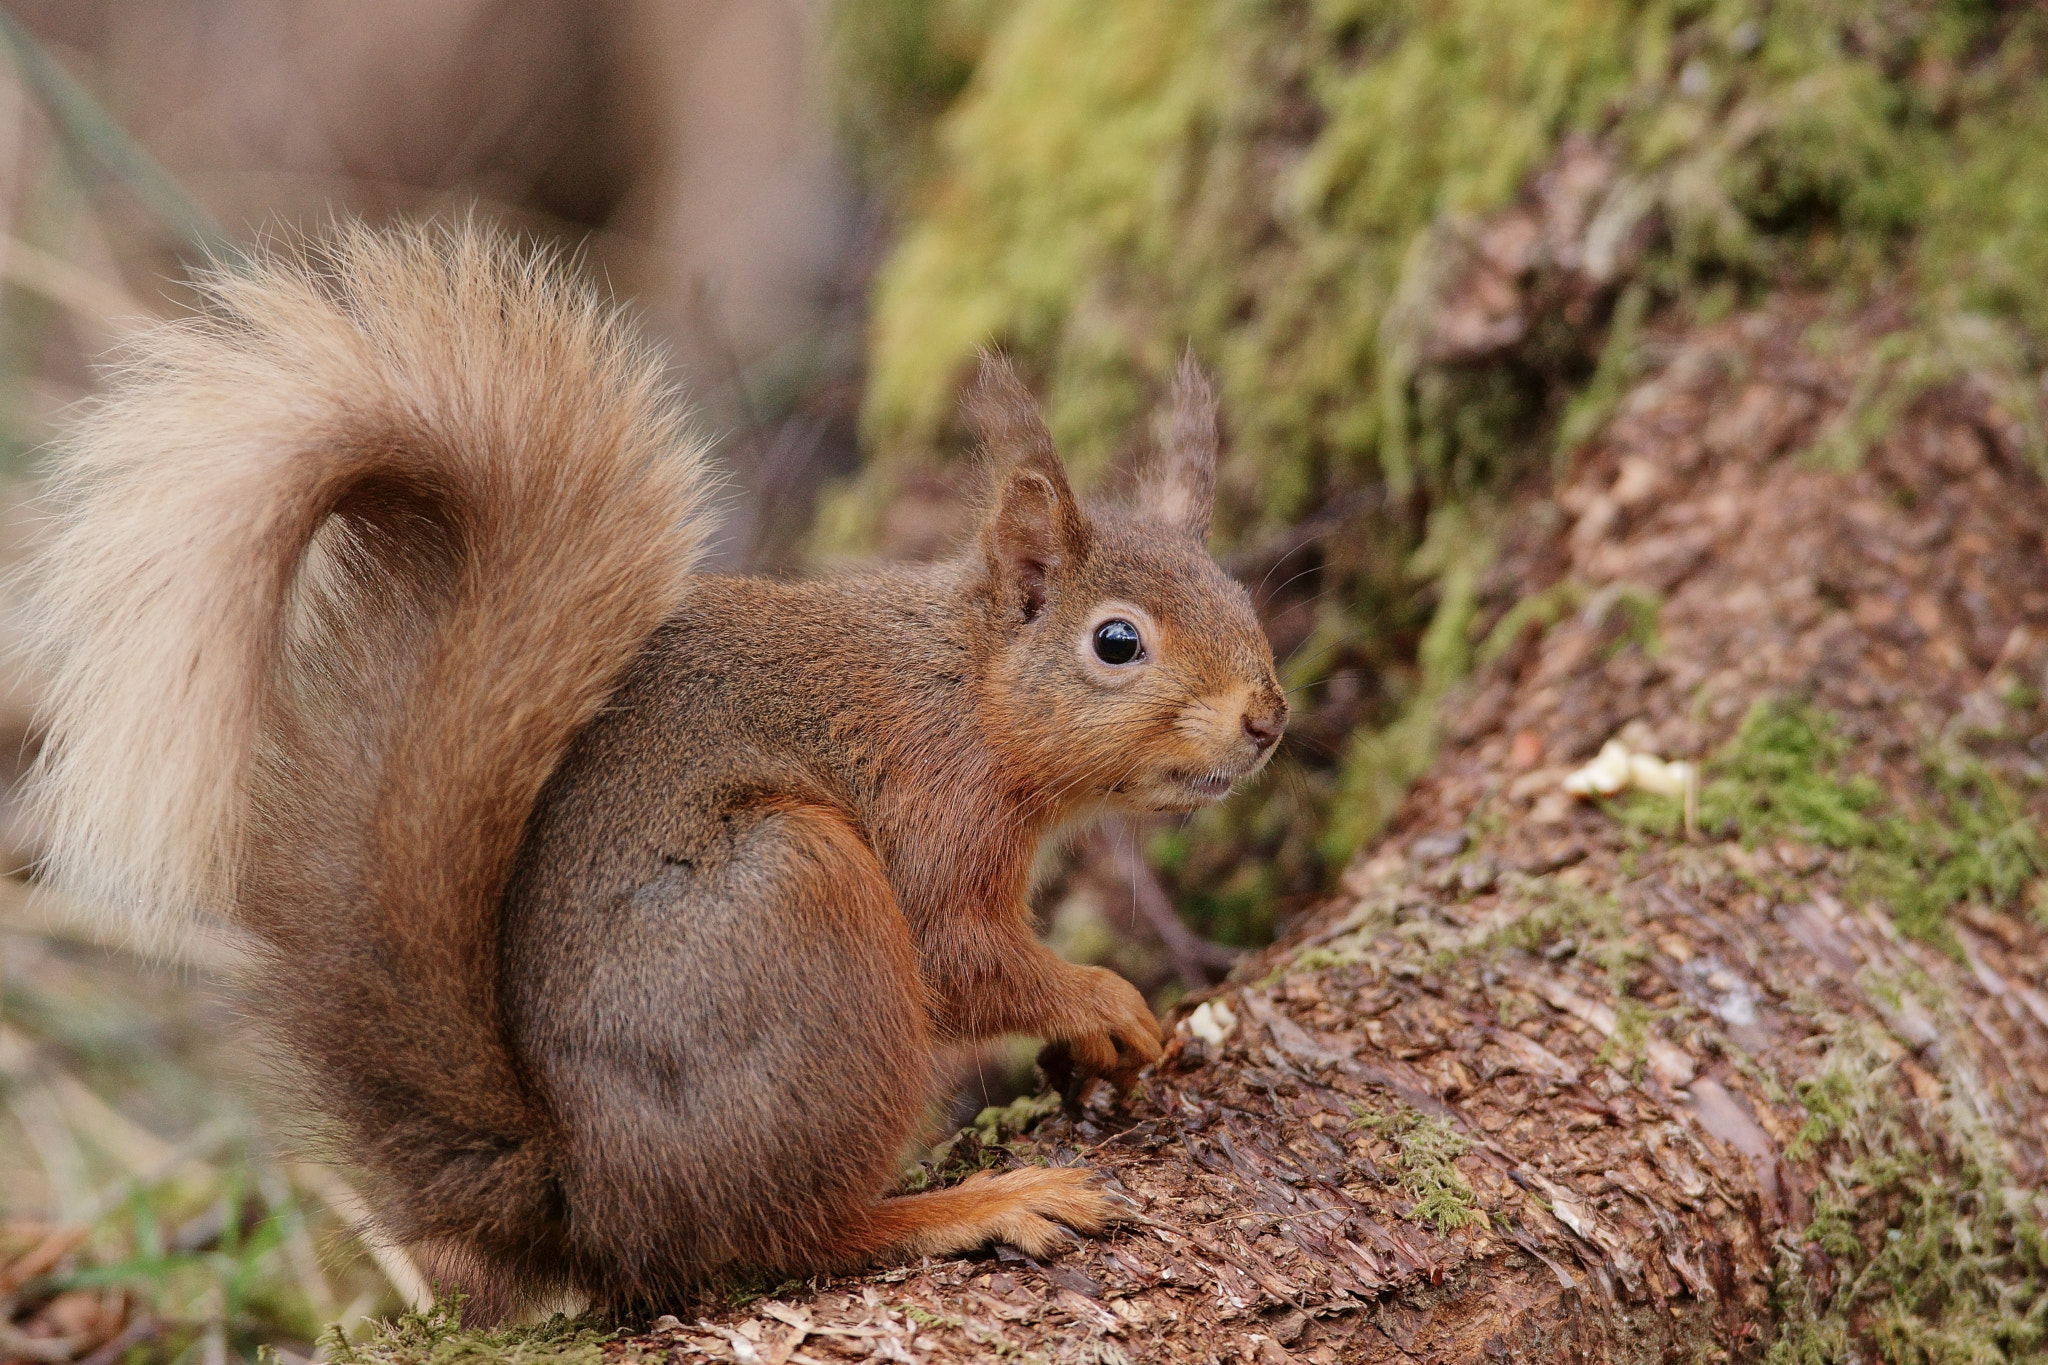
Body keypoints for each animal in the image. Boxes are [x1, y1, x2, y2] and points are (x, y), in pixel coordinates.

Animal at [19, 224, 1277, 1326]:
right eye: (1116, 642)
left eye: (1239, 595)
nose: (1266, 718)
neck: (961, 688)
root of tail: (585, 1203)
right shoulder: (932, 805)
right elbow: (960, 957)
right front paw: (1105, 1000)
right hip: (798, 902)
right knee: (786, 1235)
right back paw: (970, 1205)